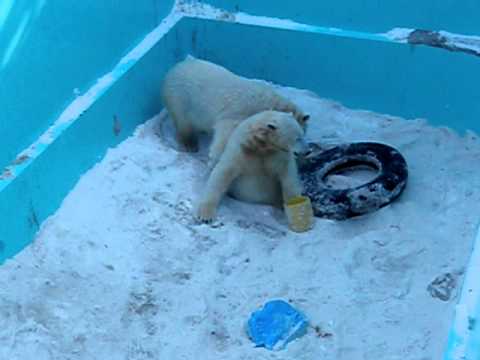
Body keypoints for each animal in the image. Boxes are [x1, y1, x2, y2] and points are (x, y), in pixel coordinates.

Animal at [162, 55, 312, 167]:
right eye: (298, 137)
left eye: (303, 133)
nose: (305, 153)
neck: (266, 105)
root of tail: (174, 68)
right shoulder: (238, 113)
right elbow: (225, 133)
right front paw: (216, 159)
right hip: (180, 98)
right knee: (183, 122)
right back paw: (190, 144)